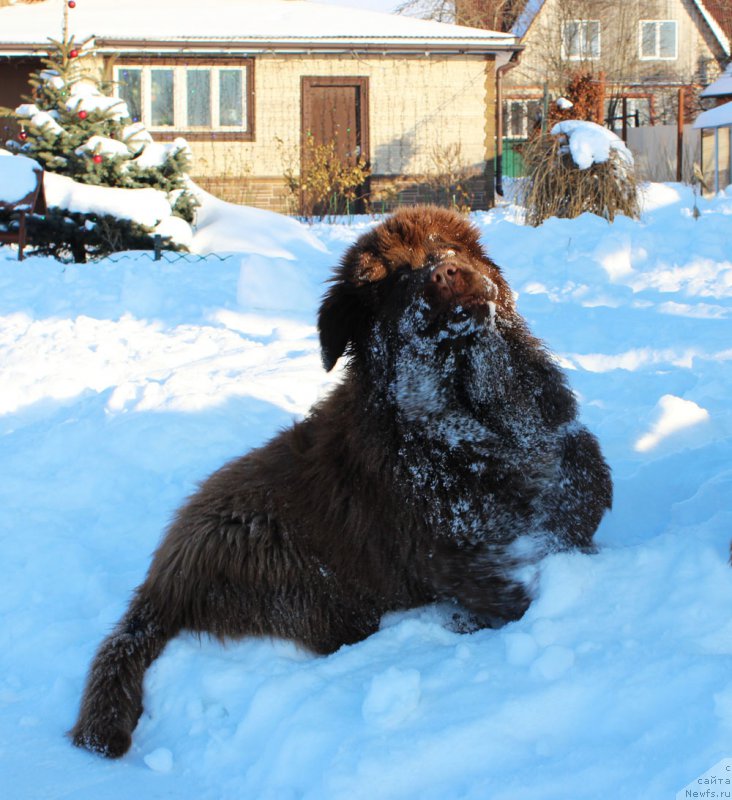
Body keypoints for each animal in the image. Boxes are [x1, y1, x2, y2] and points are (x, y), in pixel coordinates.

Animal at [73, 205, 612, 756]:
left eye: (447, 245)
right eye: (393, 276)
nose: (444, 273)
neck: (475, 422)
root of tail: (159, 581)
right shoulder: (464, 563)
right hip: (280, 559)